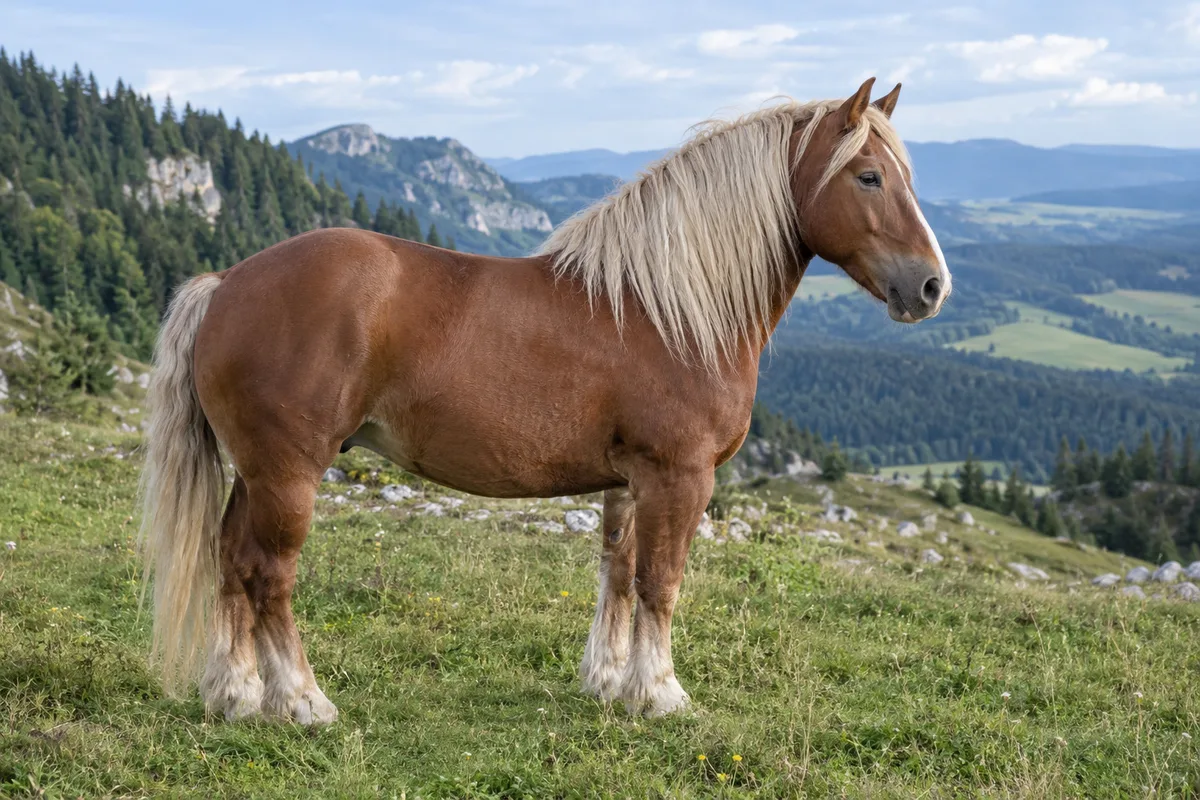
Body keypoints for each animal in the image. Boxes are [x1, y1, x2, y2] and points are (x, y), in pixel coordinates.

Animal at [138, 77, 950, 724]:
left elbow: (618, 573)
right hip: (290, 472)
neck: (665, 310)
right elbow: (660, 581)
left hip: (255, 471)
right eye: (869, 177)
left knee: (230, 562)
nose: (932, 286)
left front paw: (610, 684)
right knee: (269, 574)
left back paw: (236, 696)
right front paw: (661, 694)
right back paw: (304, 702)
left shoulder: (630, 480)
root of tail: (226, 283)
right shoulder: (680, 476)